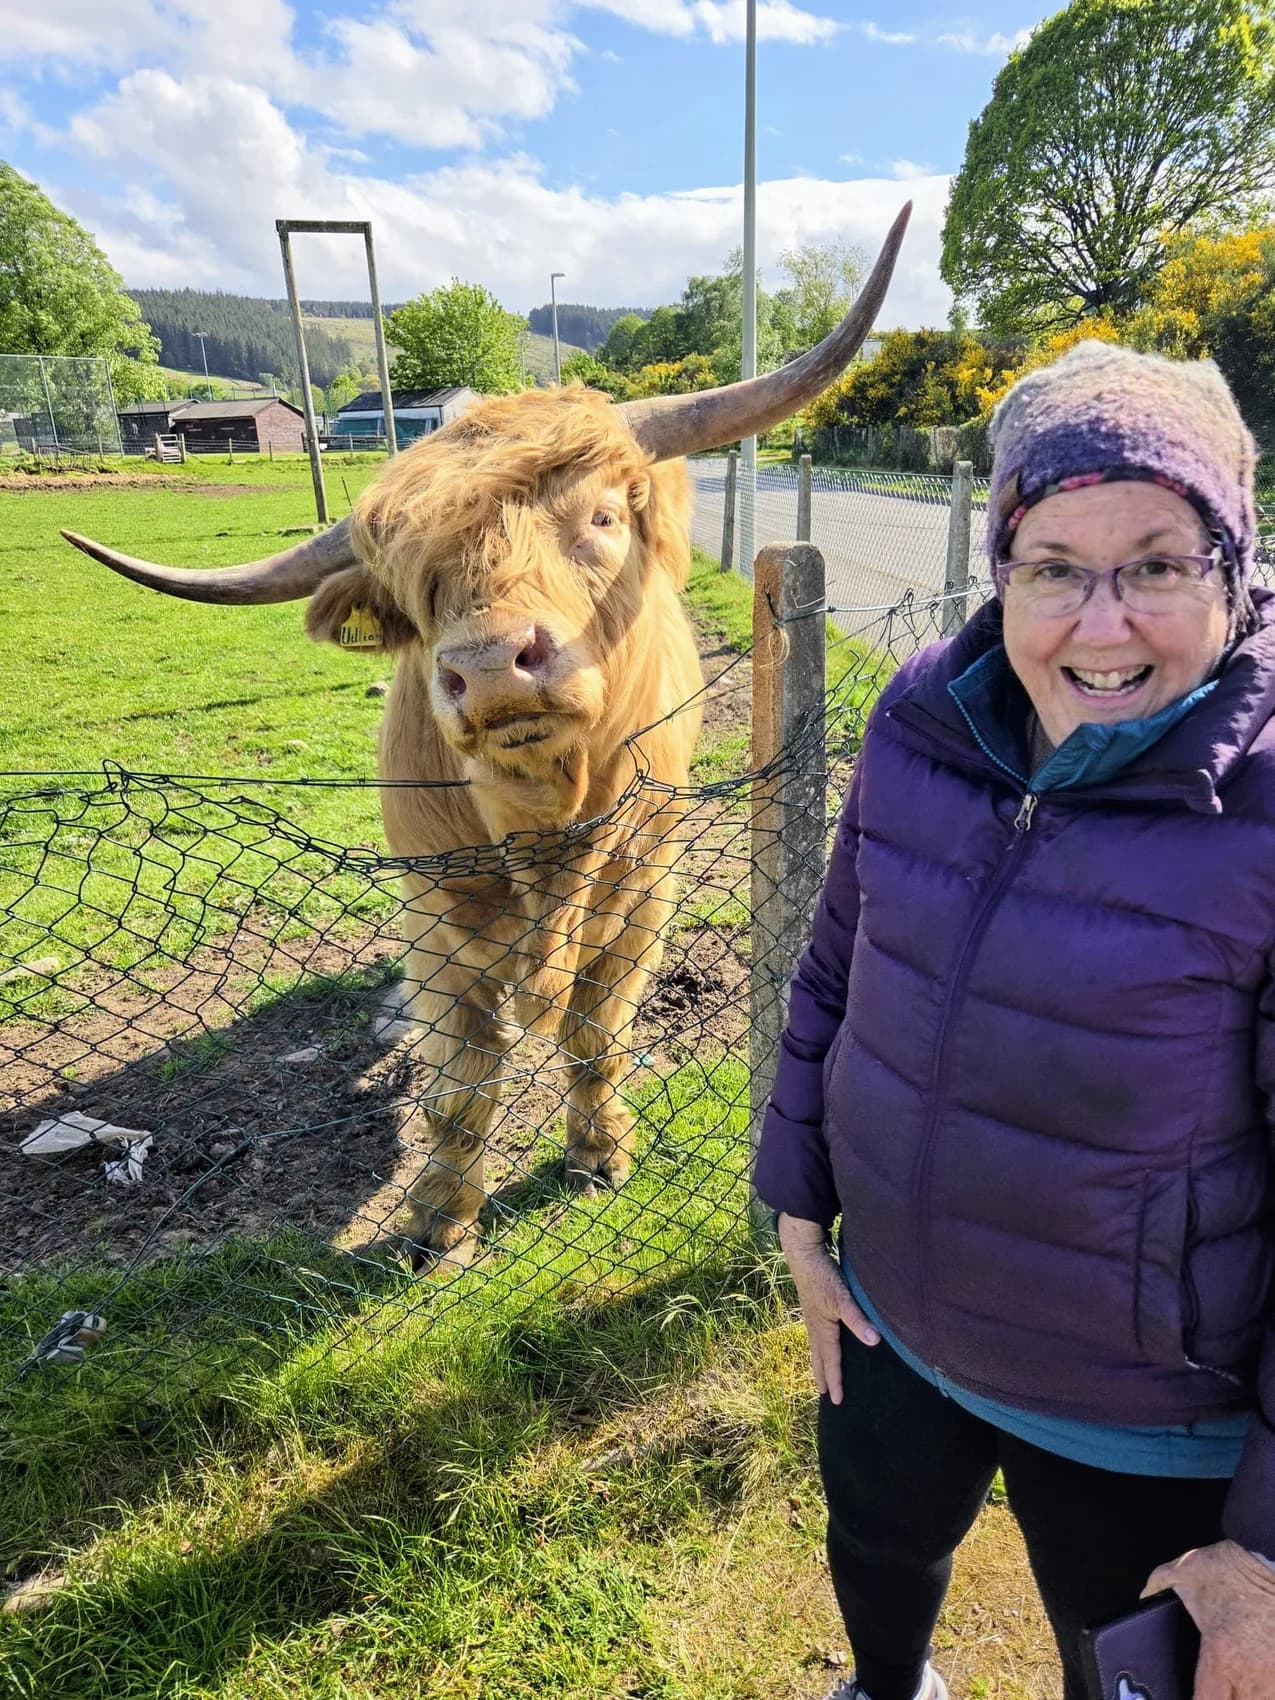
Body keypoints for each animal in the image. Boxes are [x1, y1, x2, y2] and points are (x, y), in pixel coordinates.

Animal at [62, 207, 910, 1266]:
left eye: (600, 515)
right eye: (411, 582)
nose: (495, 665)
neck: (543, 817)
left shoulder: (646, 881)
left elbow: (594, 1025)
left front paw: (598, 1153)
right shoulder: (434, 904)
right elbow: (462, 1078)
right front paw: (437, 1219)